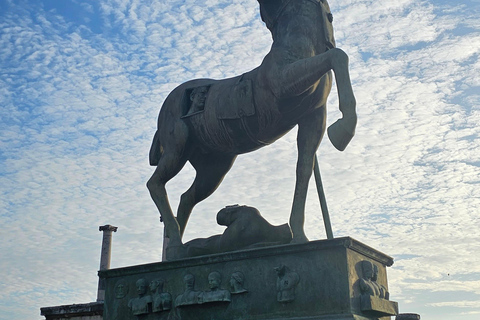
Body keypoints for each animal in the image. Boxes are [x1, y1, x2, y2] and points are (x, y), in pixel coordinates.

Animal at [146, 0, 356, 260]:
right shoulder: (285, 83)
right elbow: (338, 55)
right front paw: (343, 130)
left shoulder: (313, 117)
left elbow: (304, 169)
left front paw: (299, 236)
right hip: (178, 148)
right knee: (155, 184)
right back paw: (175, 243)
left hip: (213, 167)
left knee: (187, 197)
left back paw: (177, 251)